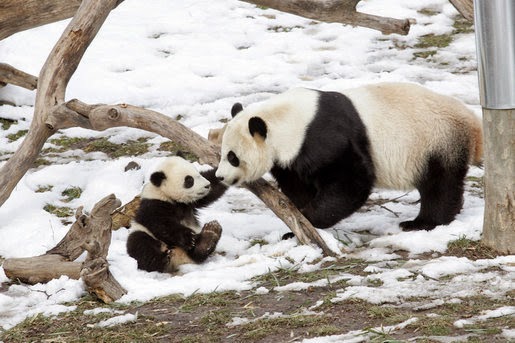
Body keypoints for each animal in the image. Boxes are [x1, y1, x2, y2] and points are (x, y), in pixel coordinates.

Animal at [215, 82, 484, 231]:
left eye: (232, 157)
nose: (219, 177)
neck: (283, 119)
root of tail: (473, 124)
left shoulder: (324, 137)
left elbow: (352, 182)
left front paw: (309, 220)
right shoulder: (293, 156)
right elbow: (298, 185)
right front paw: (298, 218)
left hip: (435, 141)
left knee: (440, 184)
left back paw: (424, 223)